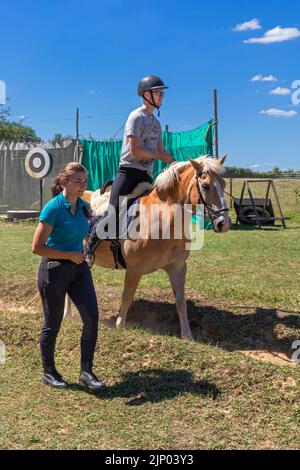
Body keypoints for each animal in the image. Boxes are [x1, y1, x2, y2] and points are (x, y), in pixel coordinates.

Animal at [66, 156, 230, 340]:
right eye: (205, 185)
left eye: (223, 184)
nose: (224, 223)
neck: (163, 217)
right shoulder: (134, 269)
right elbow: (127, 296)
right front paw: (120, 326)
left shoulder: (178, 268)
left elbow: (181, 302)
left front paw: (187, 335)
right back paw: (67, 316)